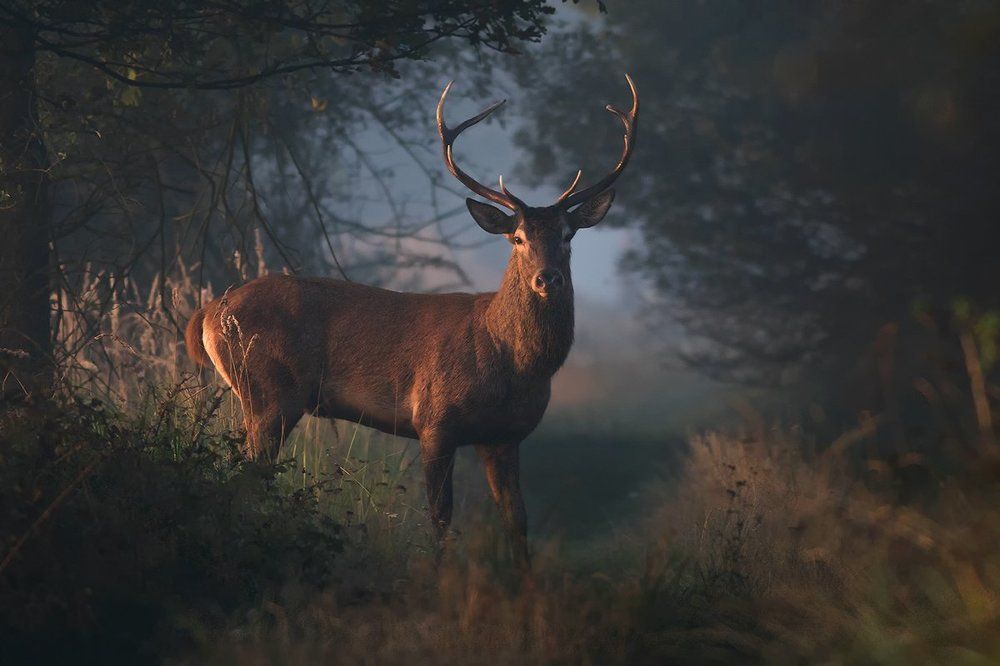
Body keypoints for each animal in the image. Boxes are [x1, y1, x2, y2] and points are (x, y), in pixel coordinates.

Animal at [185, 75, 638, 566]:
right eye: (517, 238)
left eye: (568, 235)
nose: (547, 277)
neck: (511, 364)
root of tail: (209, 312)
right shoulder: (435, 420)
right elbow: (440, 517)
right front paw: (439, 575)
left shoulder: (505, 436)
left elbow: (517, 522)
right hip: (268, 390)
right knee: (245, 477)